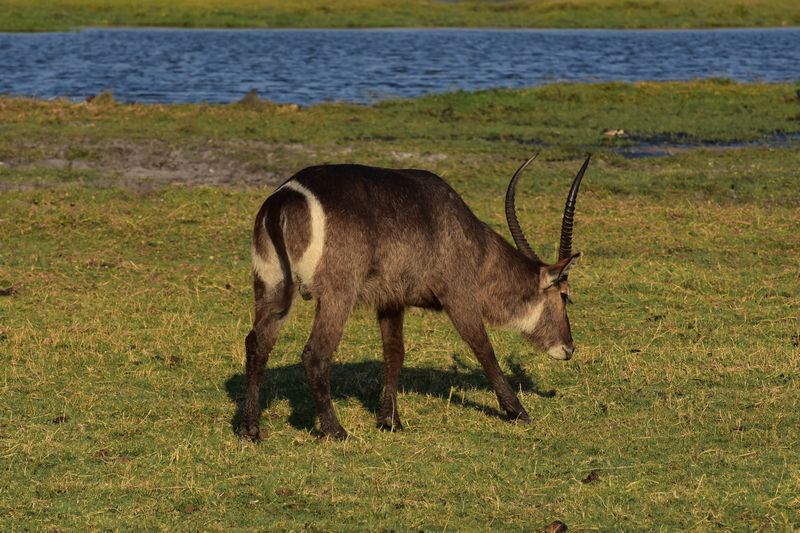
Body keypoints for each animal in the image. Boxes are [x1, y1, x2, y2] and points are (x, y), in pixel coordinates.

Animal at [238, 152, 588, 438]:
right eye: (565, 295)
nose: (569, 348)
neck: (477, 247)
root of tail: (285, 197)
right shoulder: (458, 295)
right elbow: (483, 347)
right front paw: (518, 411)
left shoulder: (391, 301)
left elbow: (394, 353)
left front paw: (390, 420)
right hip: (338, 293)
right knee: (315, 354)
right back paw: (335, 431)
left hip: (271, 286)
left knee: (257, 343)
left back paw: (250, 428)